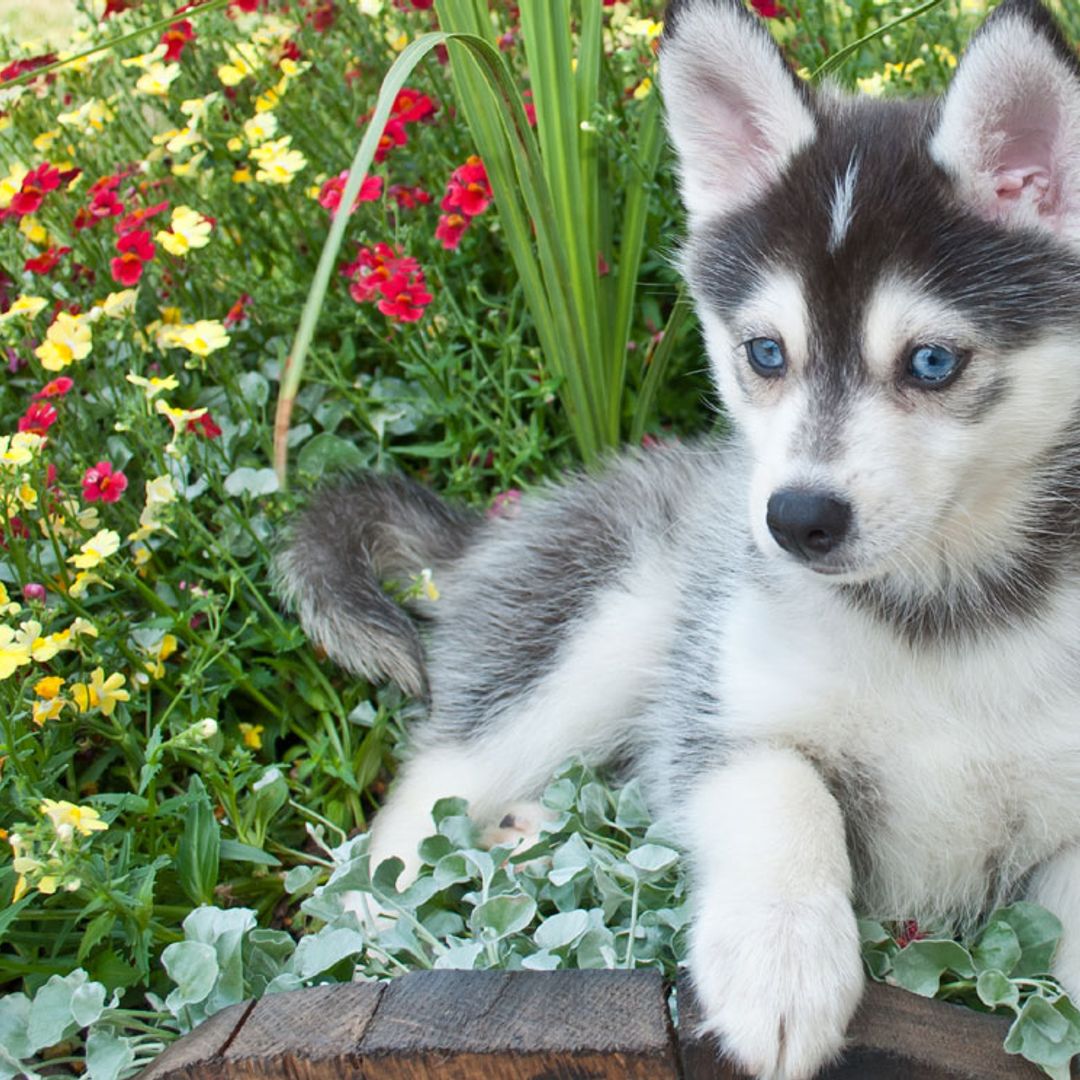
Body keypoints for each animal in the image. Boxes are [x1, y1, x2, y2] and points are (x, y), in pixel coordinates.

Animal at [278, 4, 1080, 1075]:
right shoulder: (715, 713)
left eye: (933, 362)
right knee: (431, 787)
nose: (796, 520)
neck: (942, 612)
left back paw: (526, 842)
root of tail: (493, 529)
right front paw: (779, 965)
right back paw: (386, 913)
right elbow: (783, 789)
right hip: (611, 619)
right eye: (765, 353)